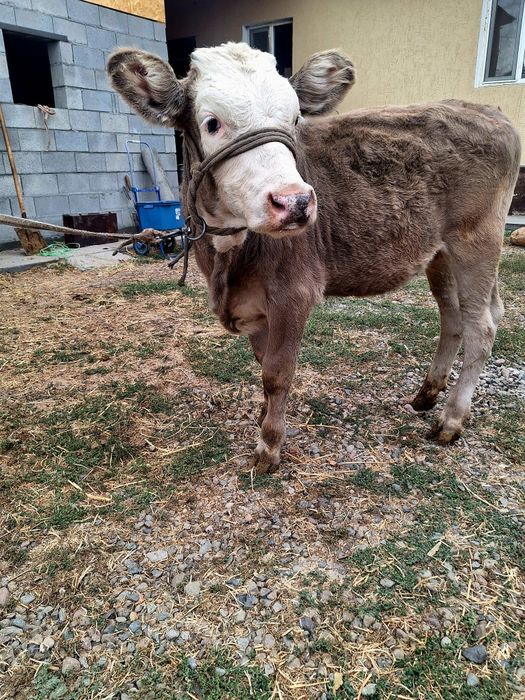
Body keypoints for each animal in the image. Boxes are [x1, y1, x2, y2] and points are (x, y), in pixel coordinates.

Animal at [107, 42, 520, 474]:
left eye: (294, 119)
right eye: (212, 123)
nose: (295, 202)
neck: (227, 258)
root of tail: (486, 111)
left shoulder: (294, 294)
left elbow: (276, 373)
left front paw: (269, 446)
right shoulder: (255, 304)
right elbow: (262, 363)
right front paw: (264, 417)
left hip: (477, 241)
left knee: (482, 328)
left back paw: (451, 420)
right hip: (441, 253)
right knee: (454, 318)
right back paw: (428, 394)